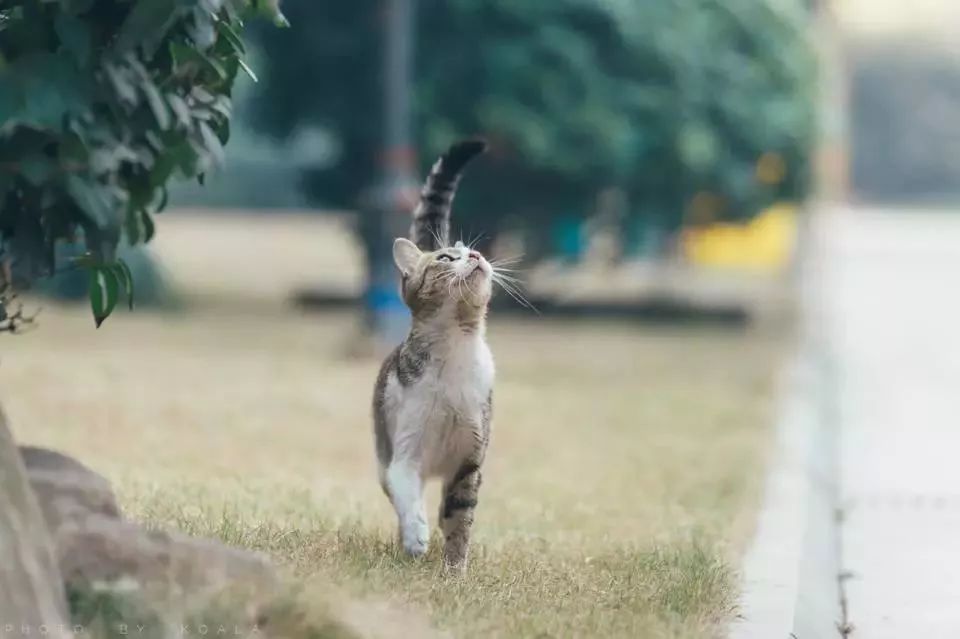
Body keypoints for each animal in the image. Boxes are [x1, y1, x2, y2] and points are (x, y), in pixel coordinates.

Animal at [372, 139, 496, 568]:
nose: (475, 256)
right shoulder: (405, 453)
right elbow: (409, 497)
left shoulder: (470, 456)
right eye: (444, 258)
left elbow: (460, 515)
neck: (455, 348)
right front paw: (416, 539)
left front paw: (454, 568)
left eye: (473, 251)